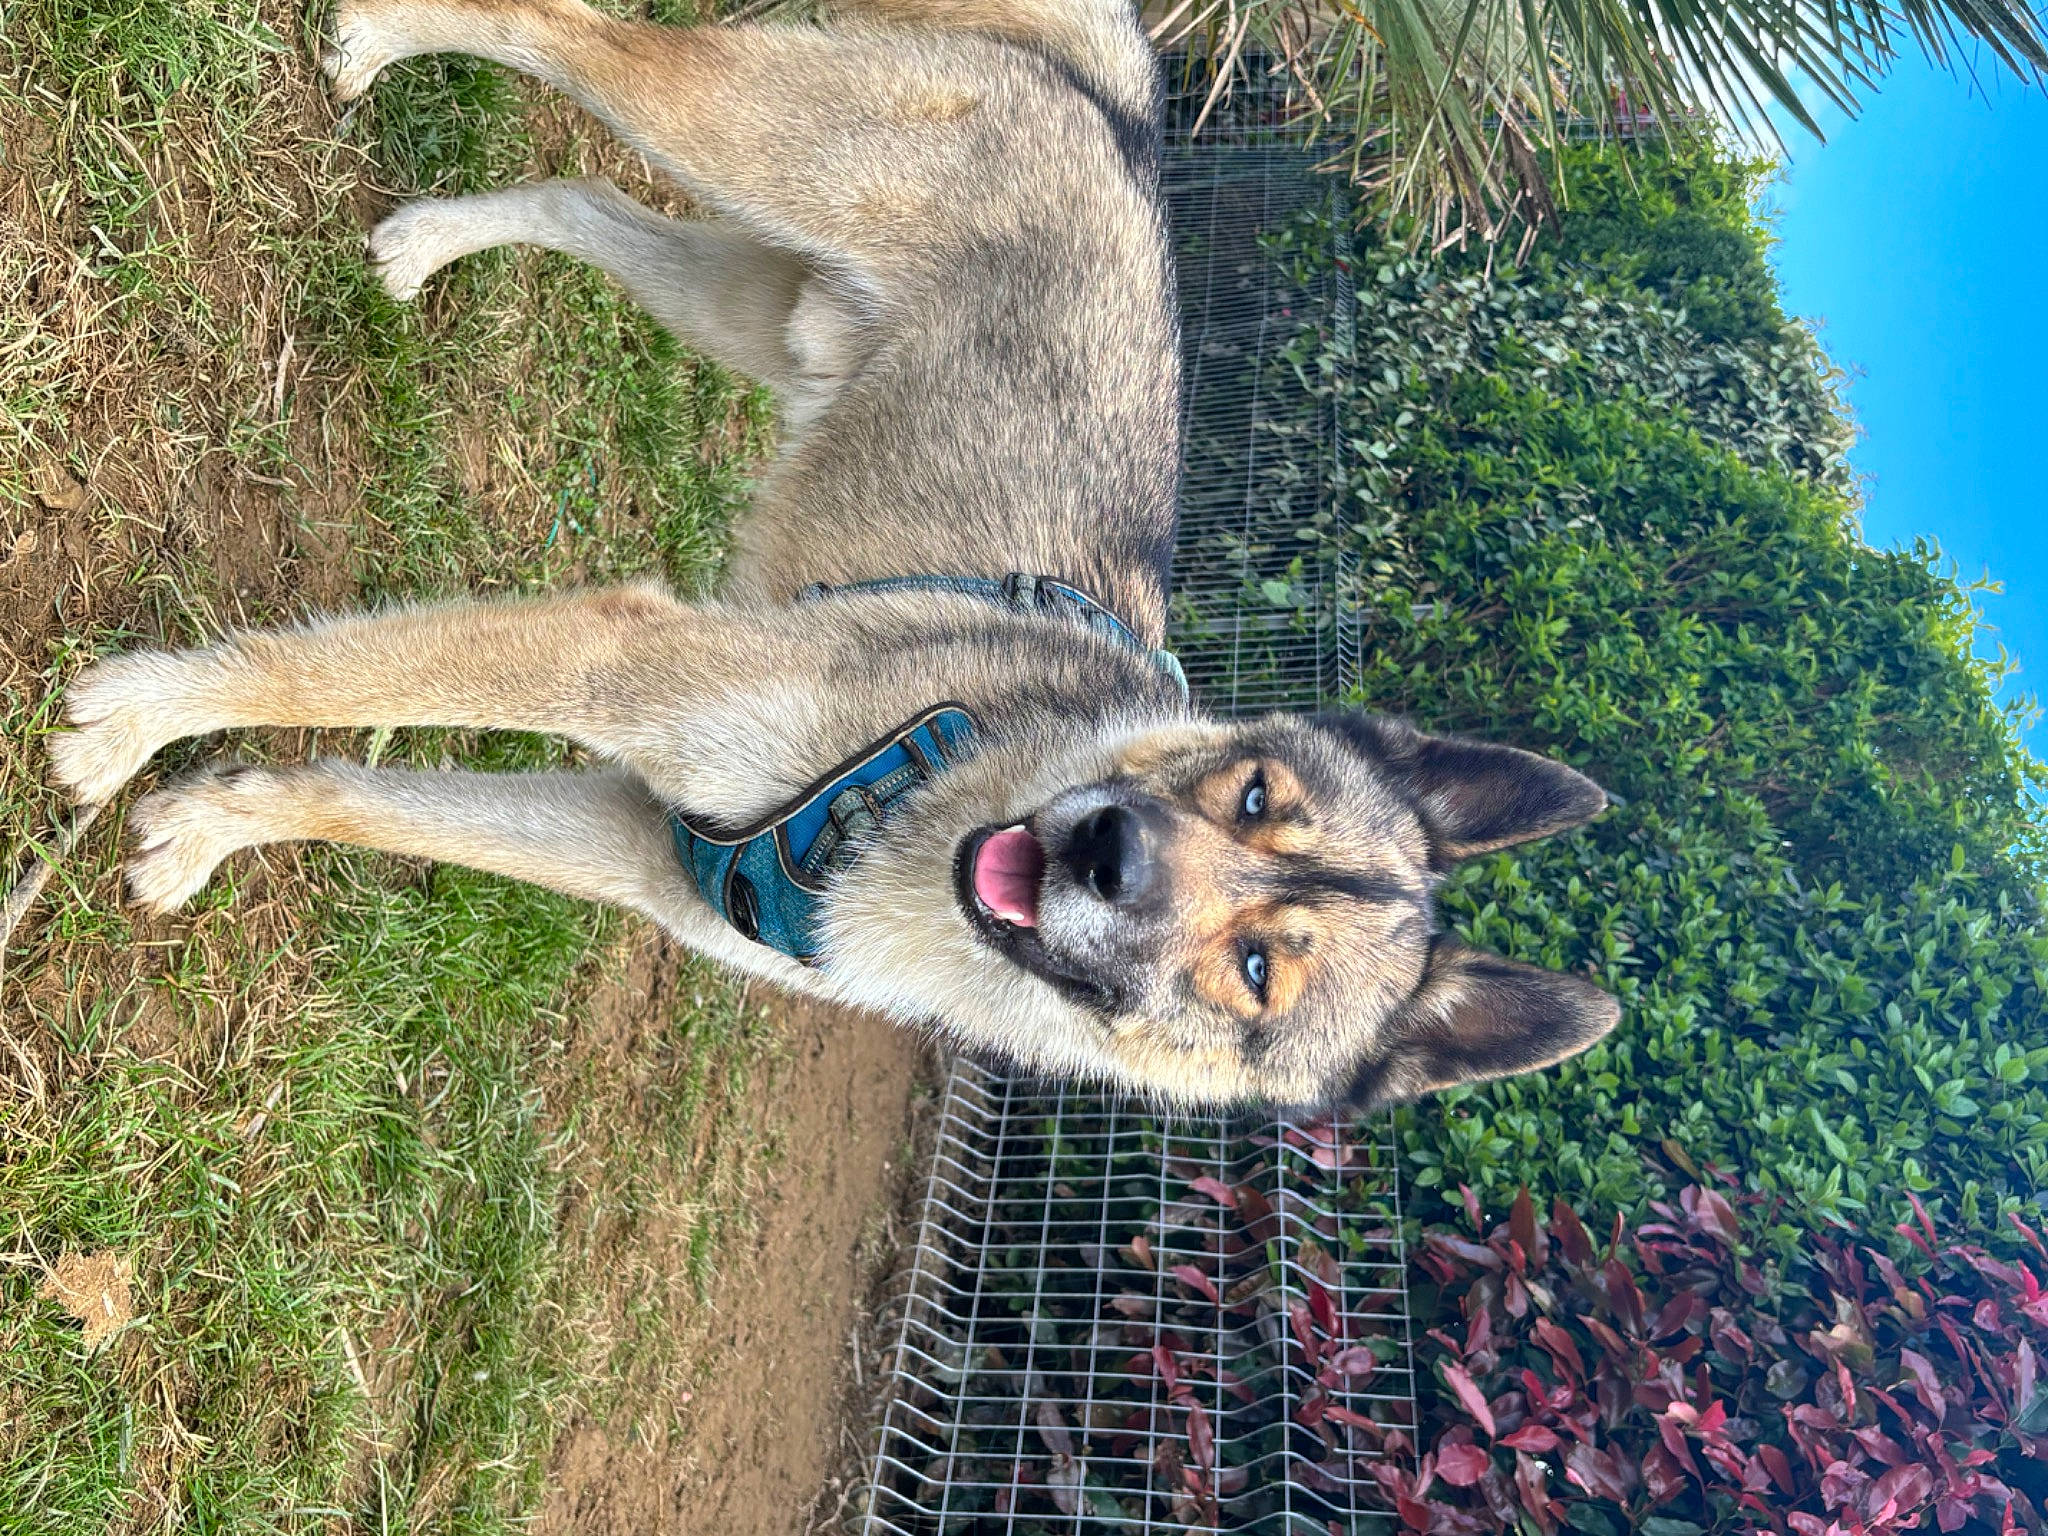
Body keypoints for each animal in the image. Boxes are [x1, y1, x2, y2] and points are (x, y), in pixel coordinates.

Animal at [46, 0, 1619, 1108]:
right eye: (1249, 793)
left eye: (1255, 975)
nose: (1104, 850)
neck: (930, 804)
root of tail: (1125, 115)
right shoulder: (634, 662)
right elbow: (320, 674)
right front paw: (138, 721)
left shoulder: (632, 841)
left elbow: (358, 793)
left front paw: (213, 821)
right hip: (741, 136)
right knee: (572, 35)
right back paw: (386, 33)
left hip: (753, 296)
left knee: (580, 199)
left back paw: (429, 243)